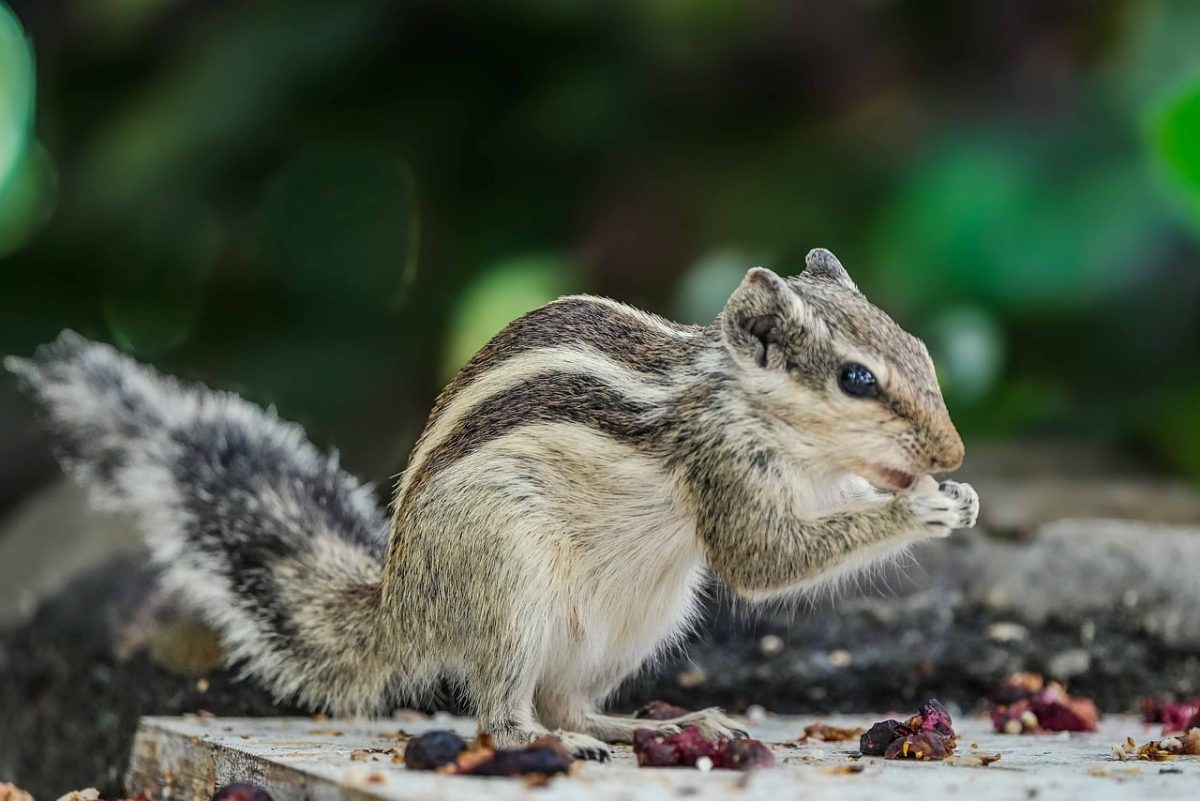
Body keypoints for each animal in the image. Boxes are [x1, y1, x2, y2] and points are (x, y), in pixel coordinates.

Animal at [6, 247, 978, 760]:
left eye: (921, 349)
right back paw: (547, 745)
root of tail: (401, 606)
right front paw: (921, 511)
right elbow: (763, 559)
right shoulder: (725, 468)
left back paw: (668, 722)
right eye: (857, 379)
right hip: (508, 576)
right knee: (509, 713)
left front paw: (952, 496)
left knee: (569, 702)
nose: (954, 452)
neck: (739, 396)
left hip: (636, 621)